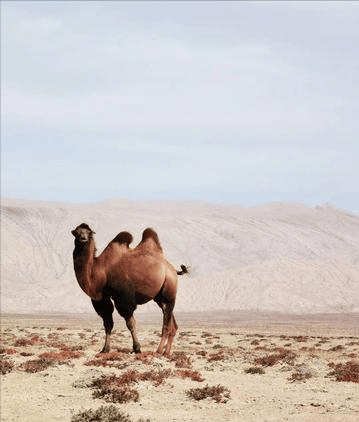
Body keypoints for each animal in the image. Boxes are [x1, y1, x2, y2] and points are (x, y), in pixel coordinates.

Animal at [71, 224, 188, 356]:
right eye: (76, 232)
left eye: (89, 233)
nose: (83, 239)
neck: (100, 271)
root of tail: (173, 269)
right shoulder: (102, 298)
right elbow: (107, 324)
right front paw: (105, 349)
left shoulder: (123, 298)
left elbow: (130, 324)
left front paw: (137, 348)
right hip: (159, 296)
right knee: (170, 318)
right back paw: (166, 352)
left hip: (169, 287)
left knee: (166, 322)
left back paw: (158, 350)